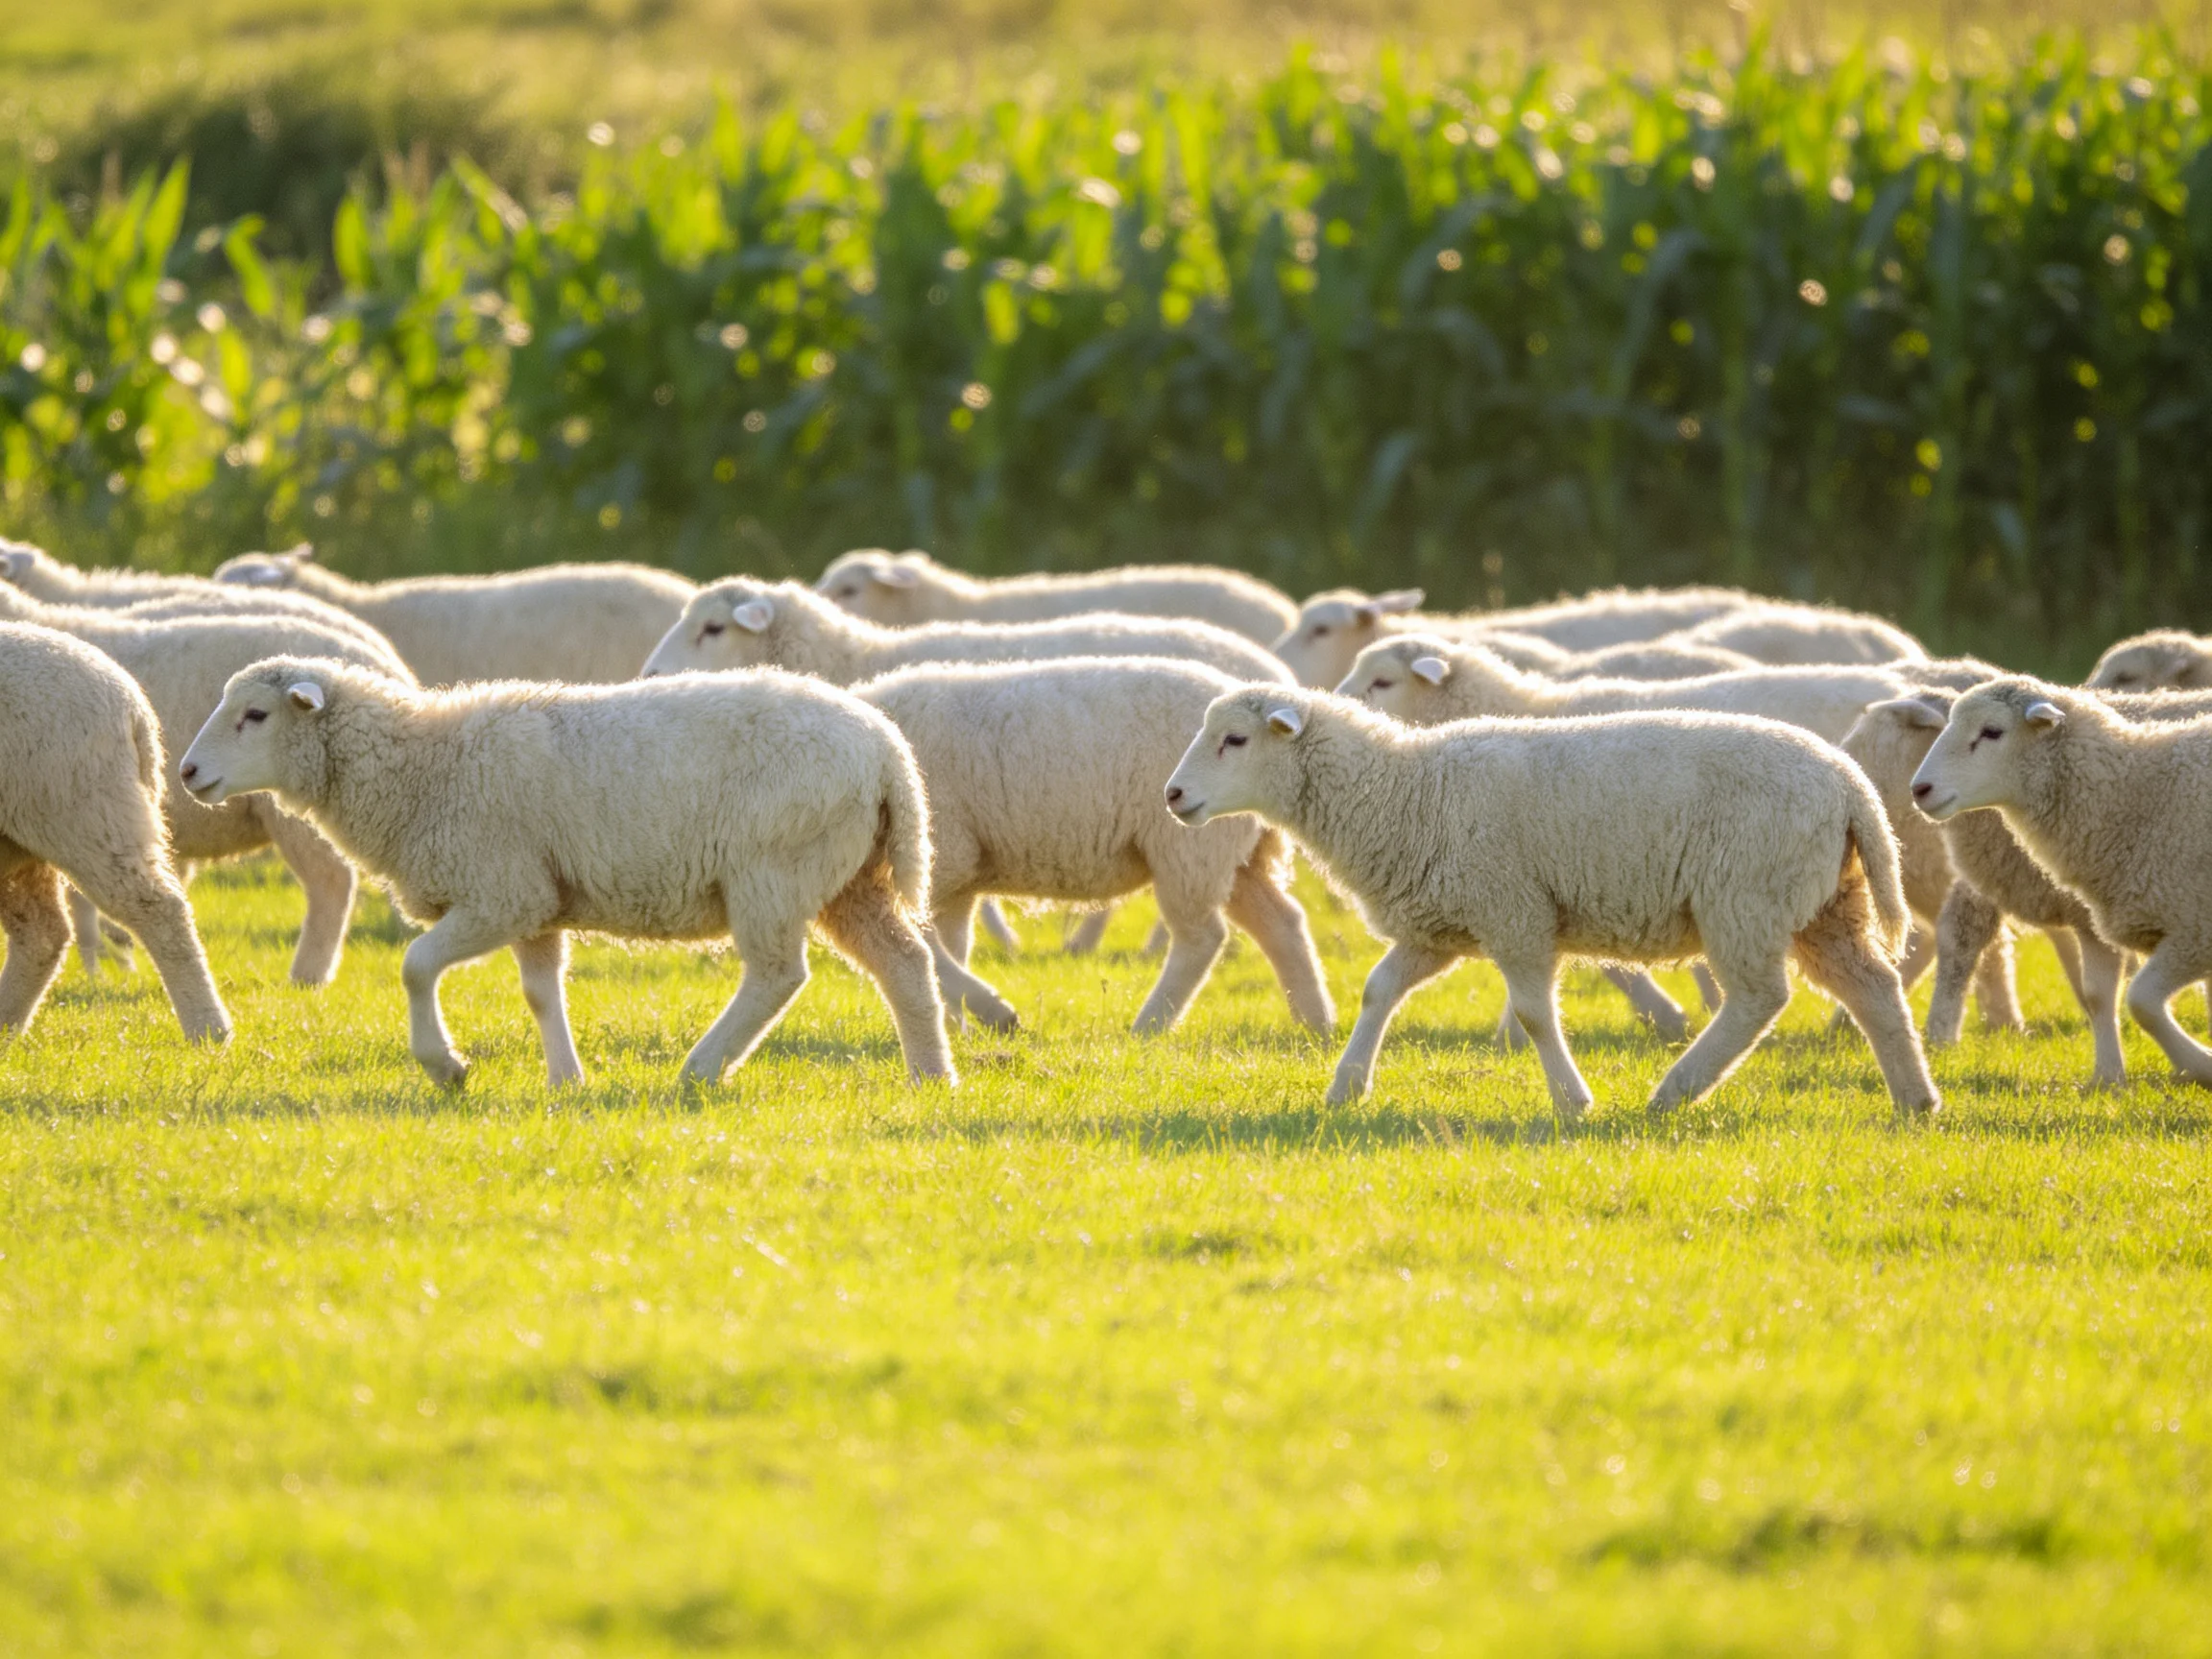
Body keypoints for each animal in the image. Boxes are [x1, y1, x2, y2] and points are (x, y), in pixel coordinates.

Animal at [0, 623, 230, 1043]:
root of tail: (132, 703)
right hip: (23, 834)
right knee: (42, 935)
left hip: (85, 811)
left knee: (159, 909)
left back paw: (209, 1029)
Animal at [177, 658, 955, 1089]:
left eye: (255, 714)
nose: (186, 773)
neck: (422, 766)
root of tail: (888, 753)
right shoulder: (537, 901)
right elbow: (541, 993)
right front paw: (566, 1081)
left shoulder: (501, 891)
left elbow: (415, 965)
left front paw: (446, 1067)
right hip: (849, 878)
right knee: (905, 964)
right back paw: (931, 1076)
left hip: (774, 869)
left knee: (777, 976)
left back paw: (701, 1069)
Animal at [852, 657, 1333, 1037]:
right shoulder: (954, 877)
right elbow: (949, 947)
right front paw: (959, 1025)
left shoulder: (938, 857)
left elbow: (929, 945)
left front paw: (995, 1013)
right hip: (1235, 855)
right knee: (1283, 924)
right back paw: (1317, 1023)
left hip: (1190, 847)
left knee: (1202, 938)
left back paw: (1149, 1026)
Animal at [1163, 690, 1937, 1119]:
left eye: (1235, 740)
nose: (1172, 796)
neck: (1407, 792)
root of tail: (1850, 785)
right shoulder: (1440, 922)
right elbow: (1378, 989)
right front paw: (1347, 1087)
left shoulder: (1513, 912)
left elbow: (1535, 1013)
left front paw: (1573, 1101)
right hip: (1825, 905)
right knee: (1874, 988)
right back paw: (1915, 1099)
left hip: (1746, 895)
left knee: (1759, 998)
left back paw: (1675, 1090)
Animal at [1910, 677, 2212, 1087]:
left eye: (1992, 732)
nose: (1919, 789)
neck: (2136, 795)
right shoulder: (2097, 926)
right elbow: (2098, 995)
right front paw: (2107, 1079)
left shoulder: (2195, 932)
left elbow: (2142, 1001)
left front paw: (2199, 1064)